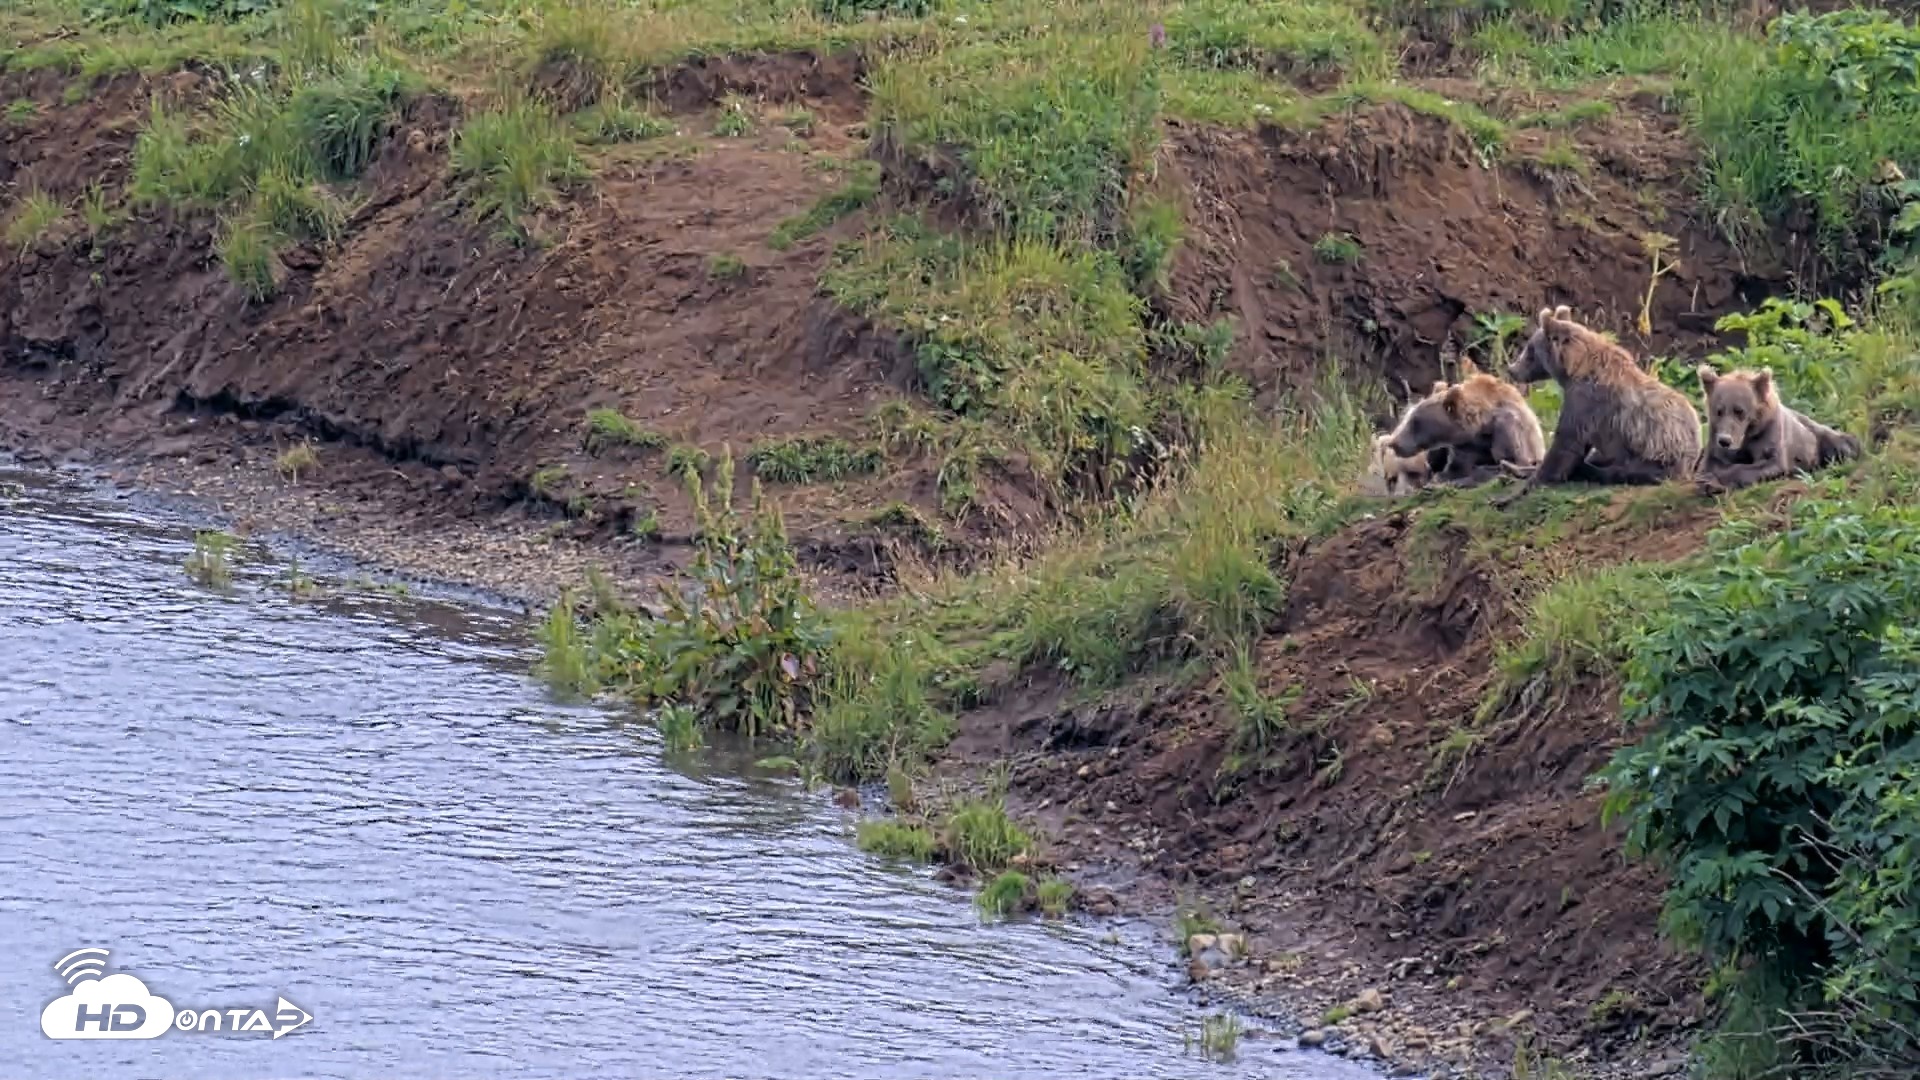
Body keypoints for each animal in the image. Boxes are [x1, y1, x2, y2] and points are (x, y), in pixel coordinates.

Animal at [1384, 371, 1546, 487]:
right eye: (1410, 418)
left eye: (1416, 422)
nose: (1394, 443)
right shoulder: (1462, 446)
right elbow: (1455, 467)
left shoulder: (1508, 428)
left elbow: (1509, 458)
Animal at [1495, 305, 1701, 506]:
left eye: (1530, 350)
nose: (1512, 369)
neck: (1574, 370)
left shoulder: (1584, 404)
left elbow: (1566, 446)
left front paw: (1510, 495)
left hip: (1656, 455)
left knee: (1617, 471)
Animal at [1695, 365, 1861, 494]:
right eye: (1718, 411)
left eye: (1739, 411)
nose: (1725, 440)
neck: (1748, 433)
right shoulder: (1716, 437)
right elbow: (1713, 462)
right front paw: (1709, 479)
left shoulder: (1769, 432)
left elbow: (1771, 462)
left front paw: (1714, 482)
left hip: (1817, 435)